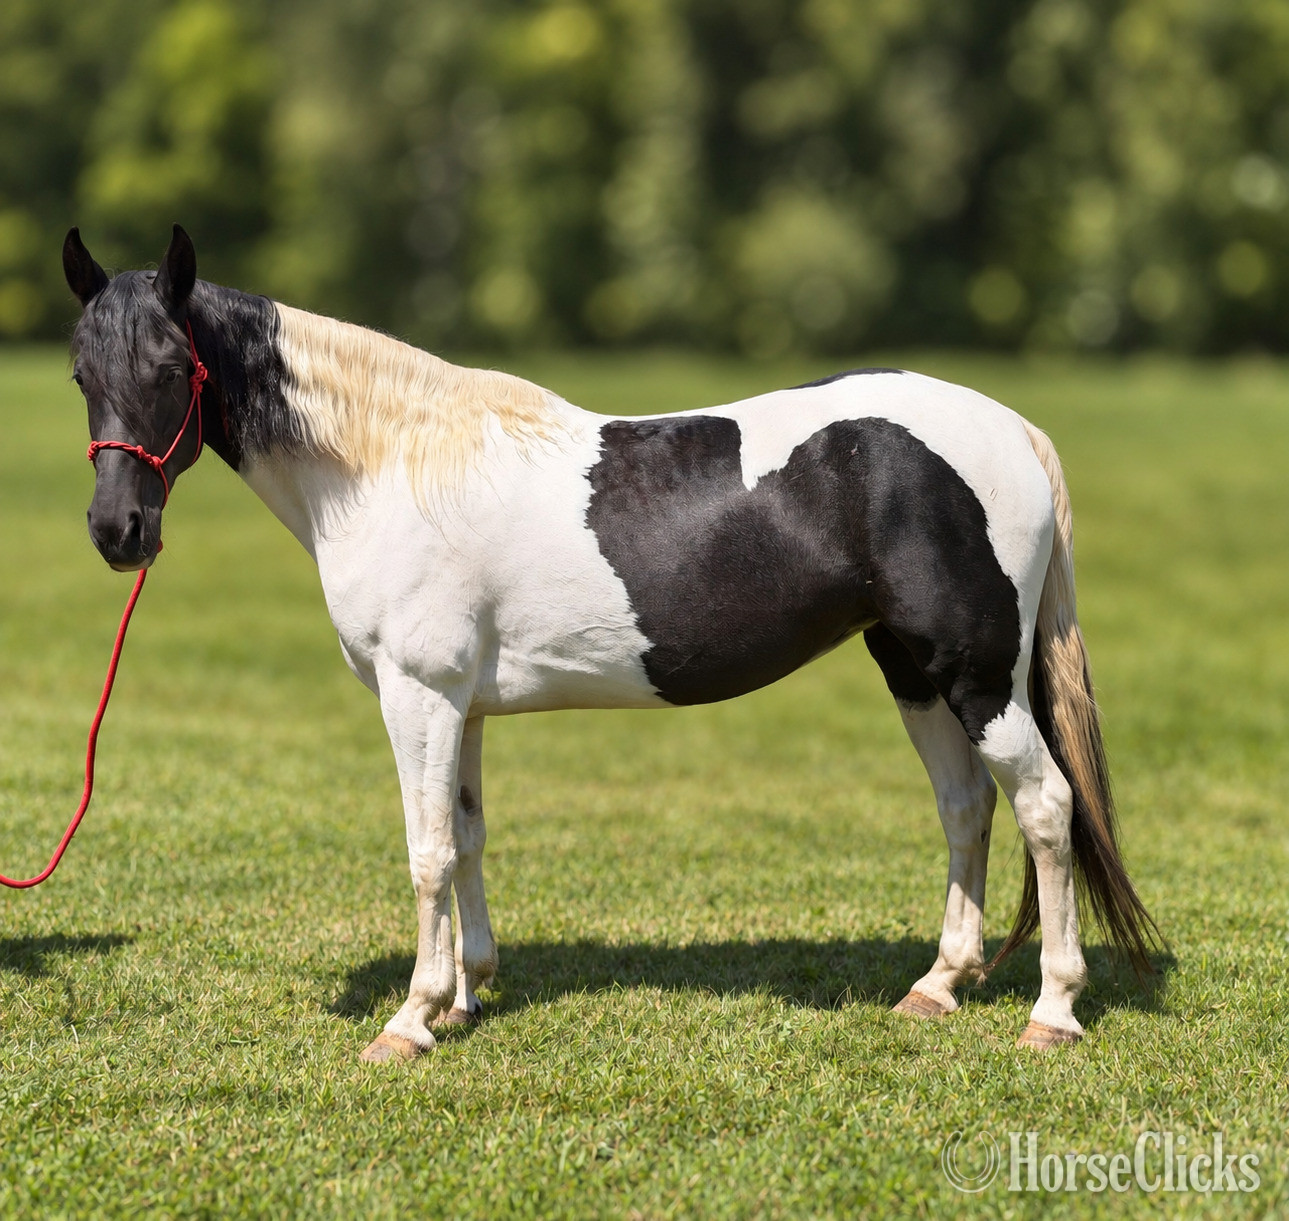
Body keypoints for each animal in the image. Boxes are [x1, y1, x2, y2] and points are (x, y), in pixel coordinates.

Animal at [62, 225, 1158, 1061]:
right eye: (80, 373)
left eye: (171, 367)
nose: (119, 533)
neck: (393, 464)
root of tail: (1009, 429)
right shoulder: (462, 705)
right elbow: (466, 837)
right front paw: (467, 994)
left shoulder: (417, 694)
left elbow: (425, 851)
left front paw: (409, 1021)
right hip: (914, 672)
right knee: (966, 808)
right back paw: (936, 985)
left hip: (977, 678)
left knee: (1045, 807)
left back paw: (1052, 1010)